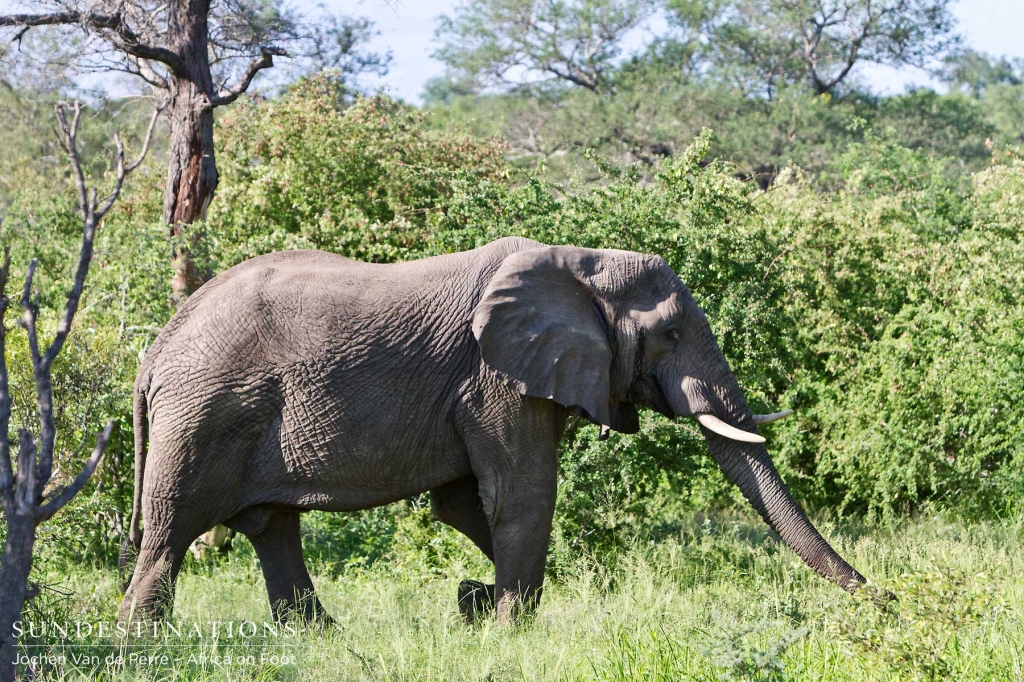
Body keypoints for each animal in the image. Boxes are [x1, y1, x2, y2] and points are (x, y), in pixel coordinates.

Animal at [119, 237, 872, 622]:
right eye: (672, 335)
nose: (883, 599)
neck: (578, 262)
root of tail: (156, 350)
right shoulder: (496, 375)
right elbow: (522, 493)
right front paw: (510, 622)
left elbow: (462, 503)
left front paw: (478, 602)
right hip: (203, 413)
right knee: (172, 530)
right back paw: (143, 642)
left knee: (274, 527)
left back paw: (317, 637)